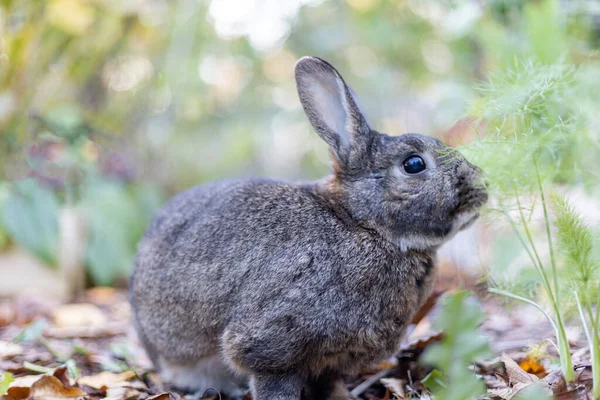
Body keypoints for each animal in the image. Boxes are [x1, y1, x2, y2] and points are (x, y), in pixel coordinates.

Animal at [130, 57, 488, 400]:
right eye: (414, 164)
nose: (482, 185)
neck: (362, 223)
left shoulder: (334, 362)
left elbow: (329, 384)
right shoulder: (271, 344)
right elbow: (273, 380)